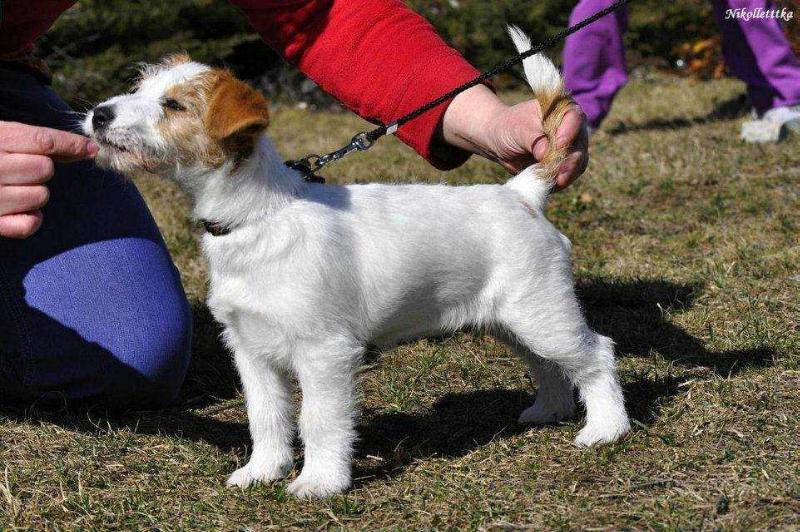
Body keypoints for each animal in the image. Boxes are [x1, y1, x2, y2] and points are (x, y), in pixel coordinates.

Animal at [84, 27, 628, 496]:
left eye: (173, 105)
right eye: (137, 88)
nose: (98, 115)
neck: (259, 215)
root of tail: (521, 192)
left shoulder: (324, 353)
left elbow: (319, 421)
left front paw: (319, 482)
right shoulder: (251, 351)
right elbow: (267, 417)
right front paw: (263, 471)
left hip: (541, 314)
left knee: (596, 354)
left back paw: (605, 429)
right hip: (511, 322)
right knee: (549, 366)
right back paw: (550, 410)